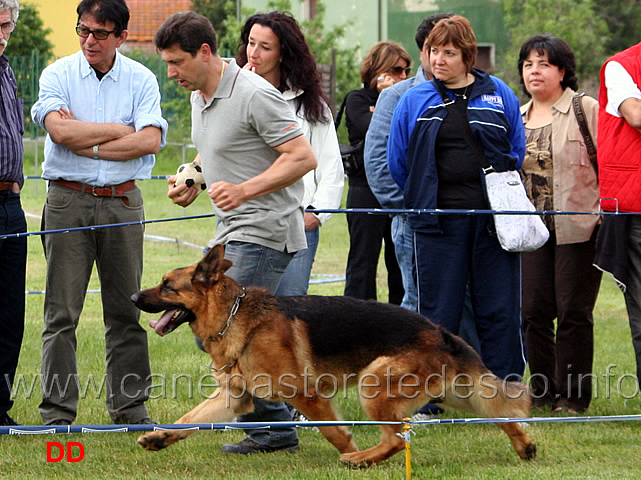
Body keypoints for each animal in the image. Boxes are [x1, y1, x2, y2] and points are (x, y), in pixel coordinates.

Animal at [130, 244, 536, 464]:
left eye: (167, 286)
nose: (133, 297)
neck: (233, 315)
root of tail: (439, 331)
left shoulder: (305, 394)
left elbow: (332, 430)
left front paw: (347, 446)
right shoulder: (233, 397)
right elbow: (188, 419)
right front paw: (158, 438)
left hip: (374, 383)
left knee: (395, 440)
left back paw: (360, 459)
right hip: (456, 394)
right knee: (501, 415)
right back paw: (525, 446)